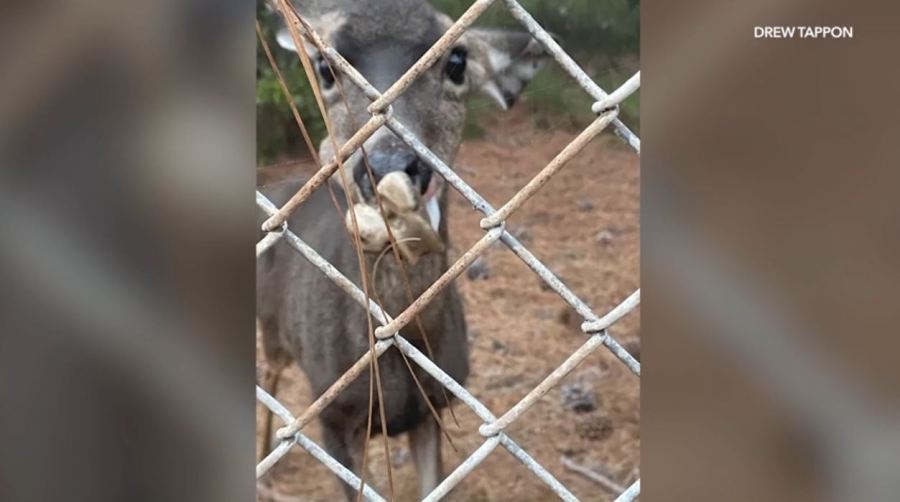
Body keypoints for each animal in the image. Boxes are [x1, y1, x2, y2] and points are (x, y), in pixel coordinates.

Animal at [257, 0, 547, 498]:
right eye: (325, 69)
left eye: (456, 62)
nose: (388, 164)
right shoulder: (335, 418)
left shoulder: (434, 408)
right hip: (271, 328)